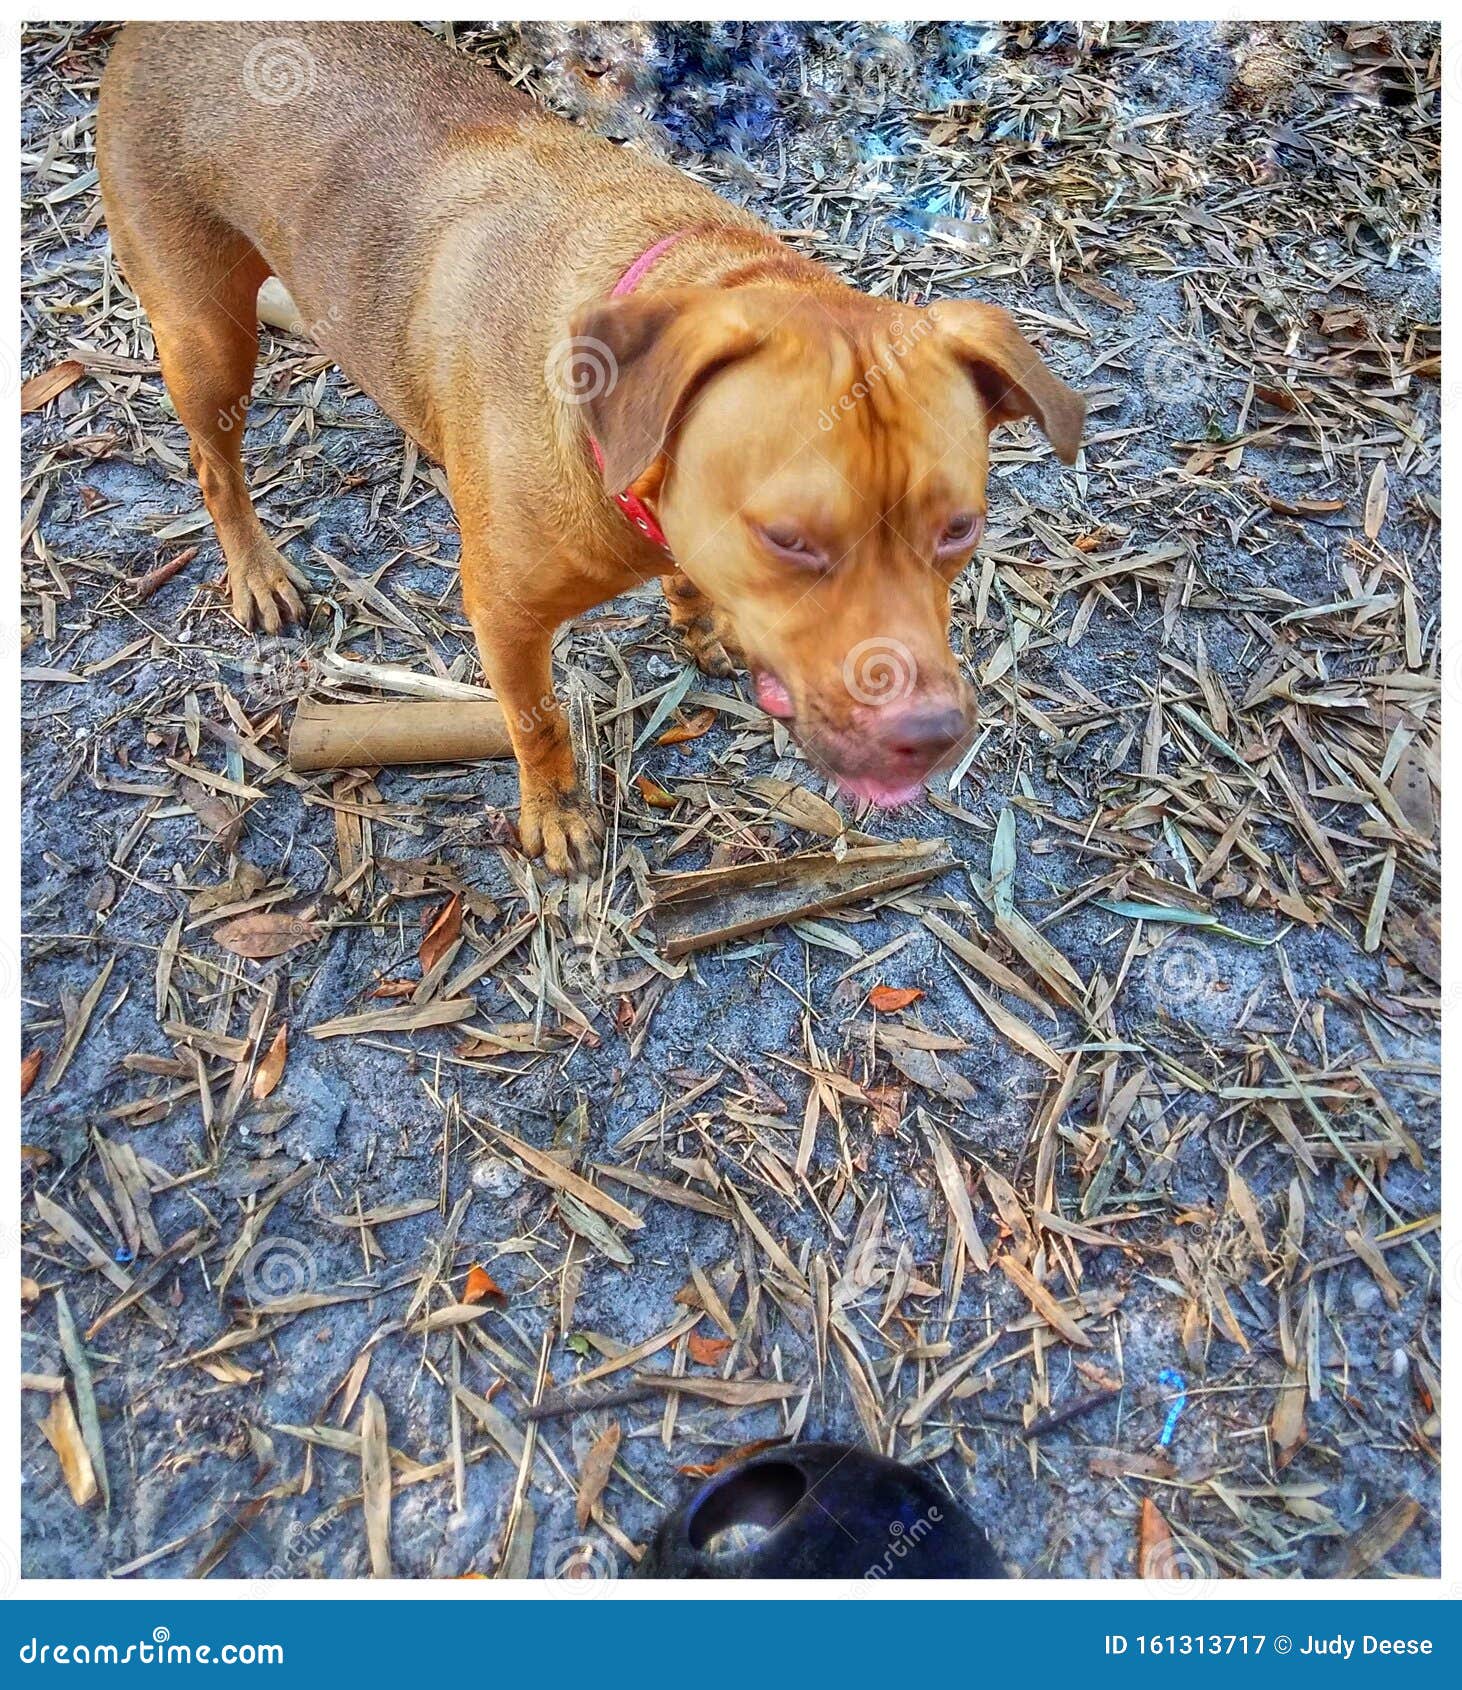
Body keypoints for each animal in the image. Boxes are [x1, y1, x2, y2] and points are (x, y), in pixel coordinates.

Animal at [99, 23, 1081, 872]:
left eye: (960, 531)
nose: (929, 734)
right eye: (788, 540)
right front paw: (556, 811)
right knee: (214, 463)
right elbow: (537, 721)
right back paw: (256, 569)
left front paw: (699, 620)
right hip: (207, 337)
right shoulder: (504, 617)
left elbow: (688, 585)